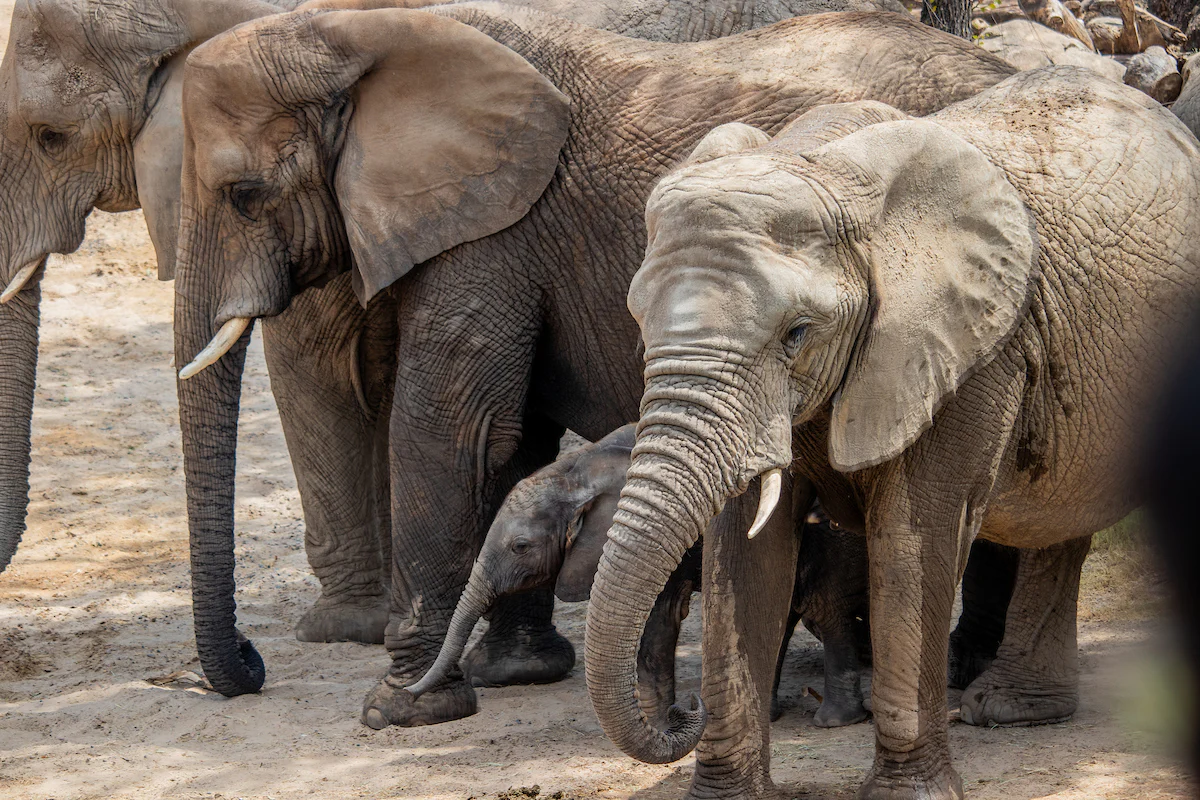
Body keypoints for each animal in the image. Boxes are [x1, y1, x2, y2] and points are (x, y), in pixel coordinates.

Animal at [405, 423, 873, 728]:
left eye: (520, 546)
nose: (409, 693)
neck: (577, 469)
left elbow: (660, 620)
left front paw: (661, 725)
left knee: (825, 611)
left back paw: (833, 721)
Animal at [587, 66, 1200, 799]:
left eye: (797, 333)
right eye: (640, 325)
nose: (684, 710)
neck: (820, 166)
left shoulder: (970, 351)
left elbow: (915, 539)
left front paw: (909, 794)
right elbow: (744, 554)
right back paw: (1012, 709)